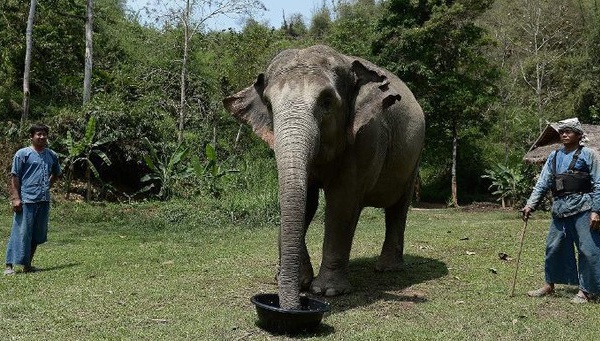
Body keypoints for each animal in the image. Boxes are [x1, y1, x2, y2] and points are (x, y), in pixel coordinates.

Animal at [223, 44, 424, 308]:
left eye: (327, 101)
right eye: (268, 104)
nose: (292, 306)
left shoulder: (366, 137)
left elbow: (342, 202)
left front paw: (327, 291)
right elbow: (306, 202)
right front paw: (300, 282)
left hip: (415, 156)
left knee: (398, 208)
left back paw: (387, 269)